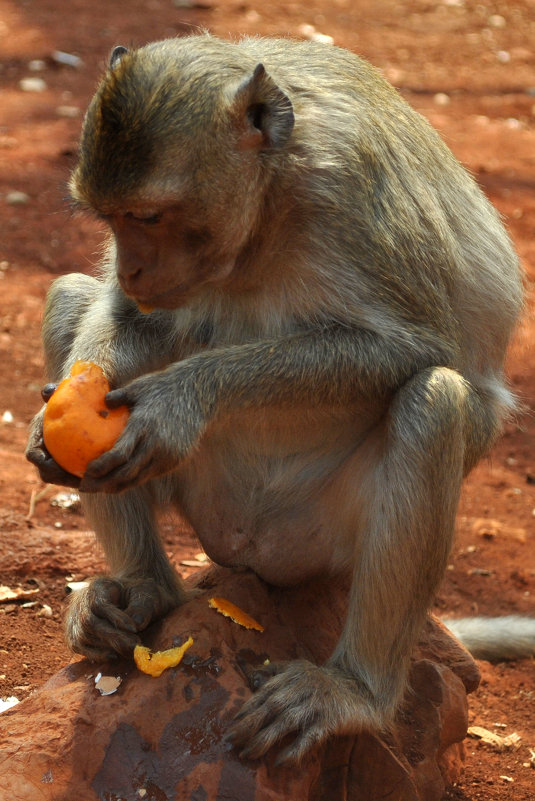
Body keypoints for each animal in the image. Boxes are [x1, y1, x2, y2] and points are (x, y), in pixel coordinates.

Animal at [27, 36, 524, 764]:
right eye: (111, 219)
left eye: (148, 216)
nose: (133, 265)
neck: (269, 206)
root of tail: (253, 555)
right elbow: (128, 318)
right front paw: (52, 422)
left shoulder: (353, 192)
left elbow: (415, 347)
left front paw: (180, 399)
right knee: (69, 299)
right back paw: (145, 591)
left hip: (326, 537)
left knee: (435, 402)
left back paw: (354, 691)